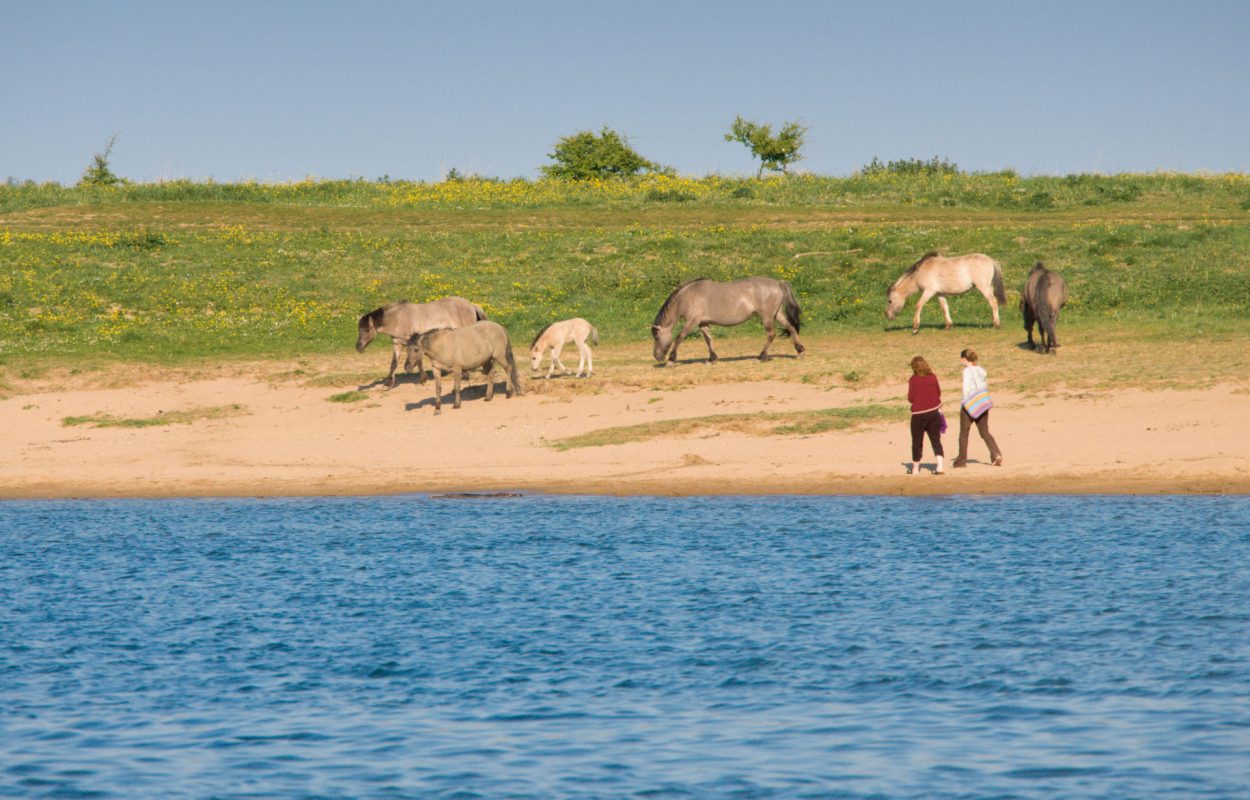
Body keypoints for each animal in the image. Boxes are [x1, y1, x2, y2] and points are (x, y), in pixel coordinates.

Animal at [357, 298, 487, 390]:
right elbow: (394, 363)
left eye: (367, 330)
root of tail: (471, 305)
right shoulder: (397, 344)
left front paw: (423, 379)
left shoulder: (414, 342)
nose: (358, 347)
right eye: (359, 329)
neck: (400, 319)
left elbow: (418, 361)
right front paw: (388, 384)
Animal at [650, 275, 805, 362]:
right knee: (791, 327)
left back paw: (762, 356)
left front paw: (672, 359)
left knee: (771, 334)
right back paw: (800, 351)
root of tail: (778, 282)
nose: (657, 357)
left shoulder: (692, 321)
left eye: (656, 337)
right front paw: (712, 358)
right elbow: (708, 340)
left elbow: (679, 337)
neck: (689, 296)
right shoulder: (703, 323)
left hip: (767, 316)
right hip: (776, 314)